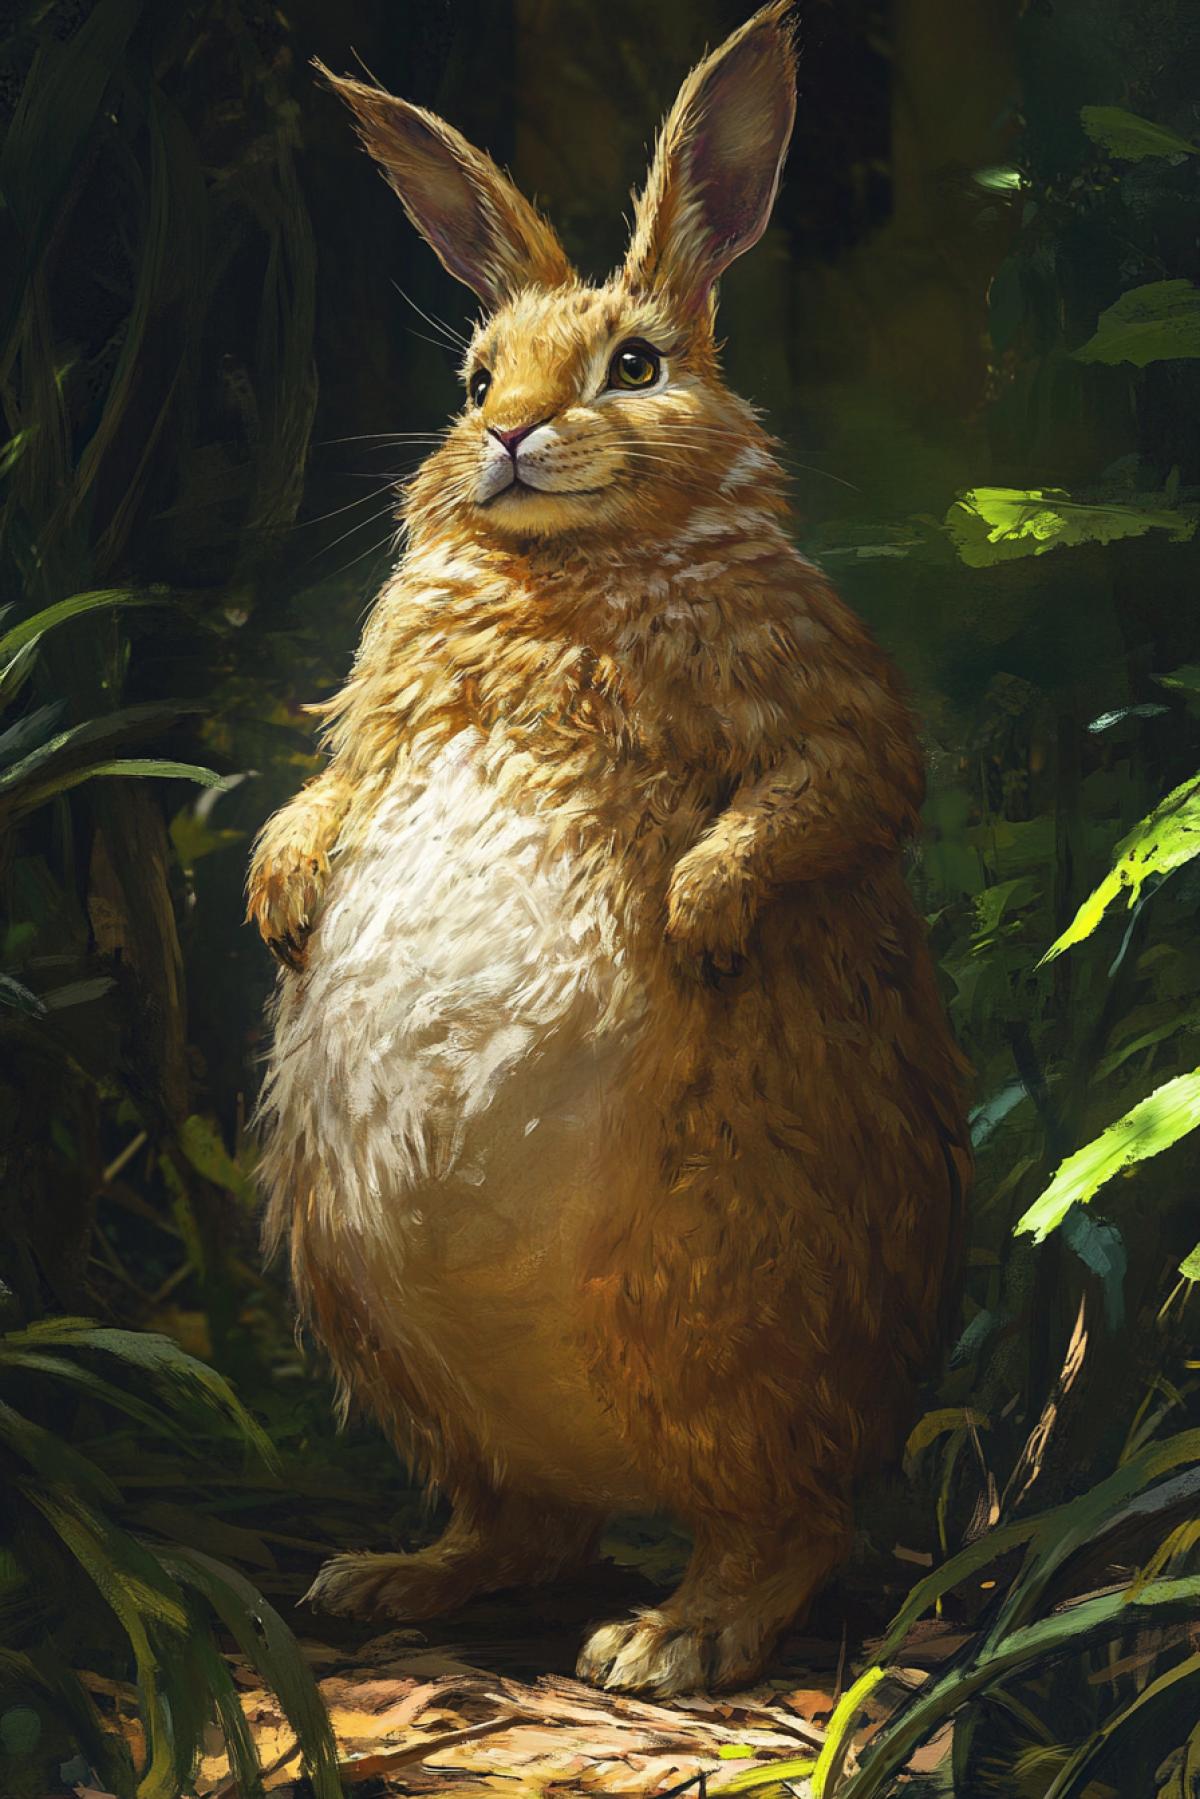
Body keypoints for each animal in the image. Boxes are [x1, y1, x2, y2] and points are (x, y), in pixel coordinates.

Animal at [247, 1, 971, 1698]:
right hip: (385, 1315)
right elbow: (326, 791)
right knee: (527, 1519)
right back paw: (384, 1577)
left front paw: (701, 917)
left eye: (634, 365)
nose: (510, 435)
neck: (566, 567)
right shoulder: (372, 732)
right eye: (473, 374)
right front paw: (282, 897)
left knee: (783, 1522)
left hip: (716, 1292)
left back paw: (669, 1639)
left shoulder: (833, 716)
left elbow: (821, 800)